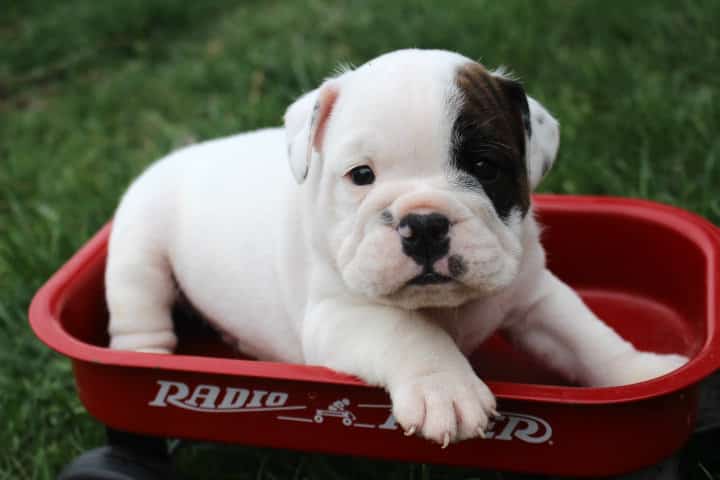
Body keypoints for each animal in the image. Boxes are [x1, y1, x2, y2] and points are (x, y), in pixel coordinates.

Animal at [105, 47, 688, 446]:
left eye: (484, 167)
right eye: (361, 175)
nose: (424, 224)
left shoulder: (535, 295)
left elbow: (586, 336)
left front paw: (644, 373)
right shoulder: (341, 315)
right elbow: (408, 333)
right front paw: (444, 389)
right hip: (137, 249)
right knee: (139, 313)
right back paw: (141, 362)